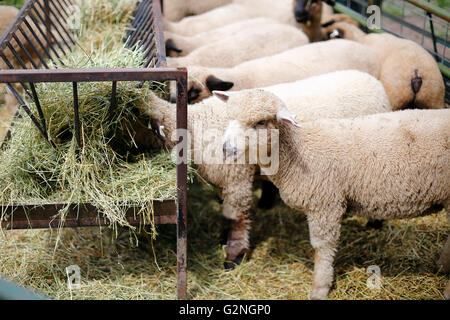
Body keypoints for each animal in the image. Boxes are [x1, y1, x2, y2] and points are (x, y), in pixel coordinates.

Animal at [221, 88, 450, 300]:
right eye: (229, 116)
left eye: (260, 122)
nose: (226, 149)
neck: (297, 150)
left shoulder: (325, 204)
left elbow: (323, 249)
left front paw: (319, 288)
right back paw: (441, 265)